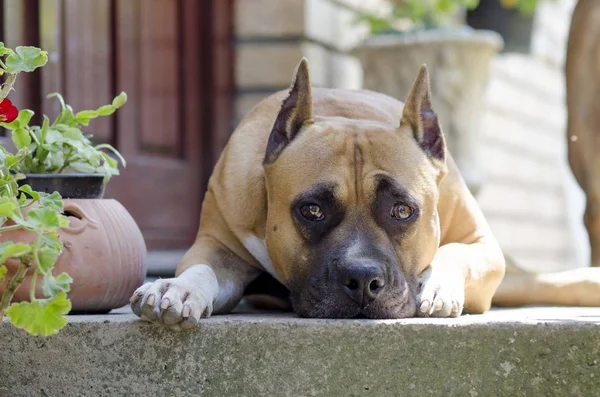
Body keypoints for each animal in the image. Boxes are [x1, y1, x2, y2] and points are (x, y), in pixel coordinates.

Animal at [130, 56, 506, 328]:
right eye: (312, 210)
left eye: (402, 210)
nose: (362, 279)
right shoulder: (218, 245)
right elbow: (202, 267)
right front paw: (178, 287)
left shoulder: (484, 247)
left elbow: (455, 252)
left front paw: (436, 284)